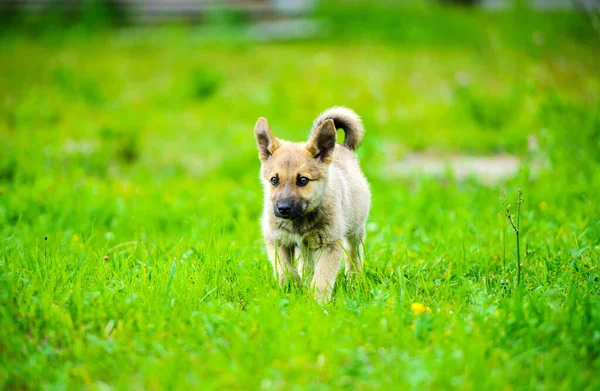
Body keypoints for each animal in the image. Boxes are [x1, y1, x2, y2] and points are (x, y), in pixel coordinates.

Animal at [253, 107, 370, 304]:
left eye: (302, 180)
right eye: (274, 180)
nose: (283, 209)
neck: (300, 222)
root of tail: (342, 147)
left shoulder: (330, 244)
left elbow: (322, 278)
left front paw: (317, 304)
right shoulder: (278, 241)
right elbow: (286, 271)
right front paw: (293, 290)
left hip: (355, 231)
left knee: (354, 256)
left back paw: (355, 279)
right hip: (306, 247)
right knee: (306, 266)